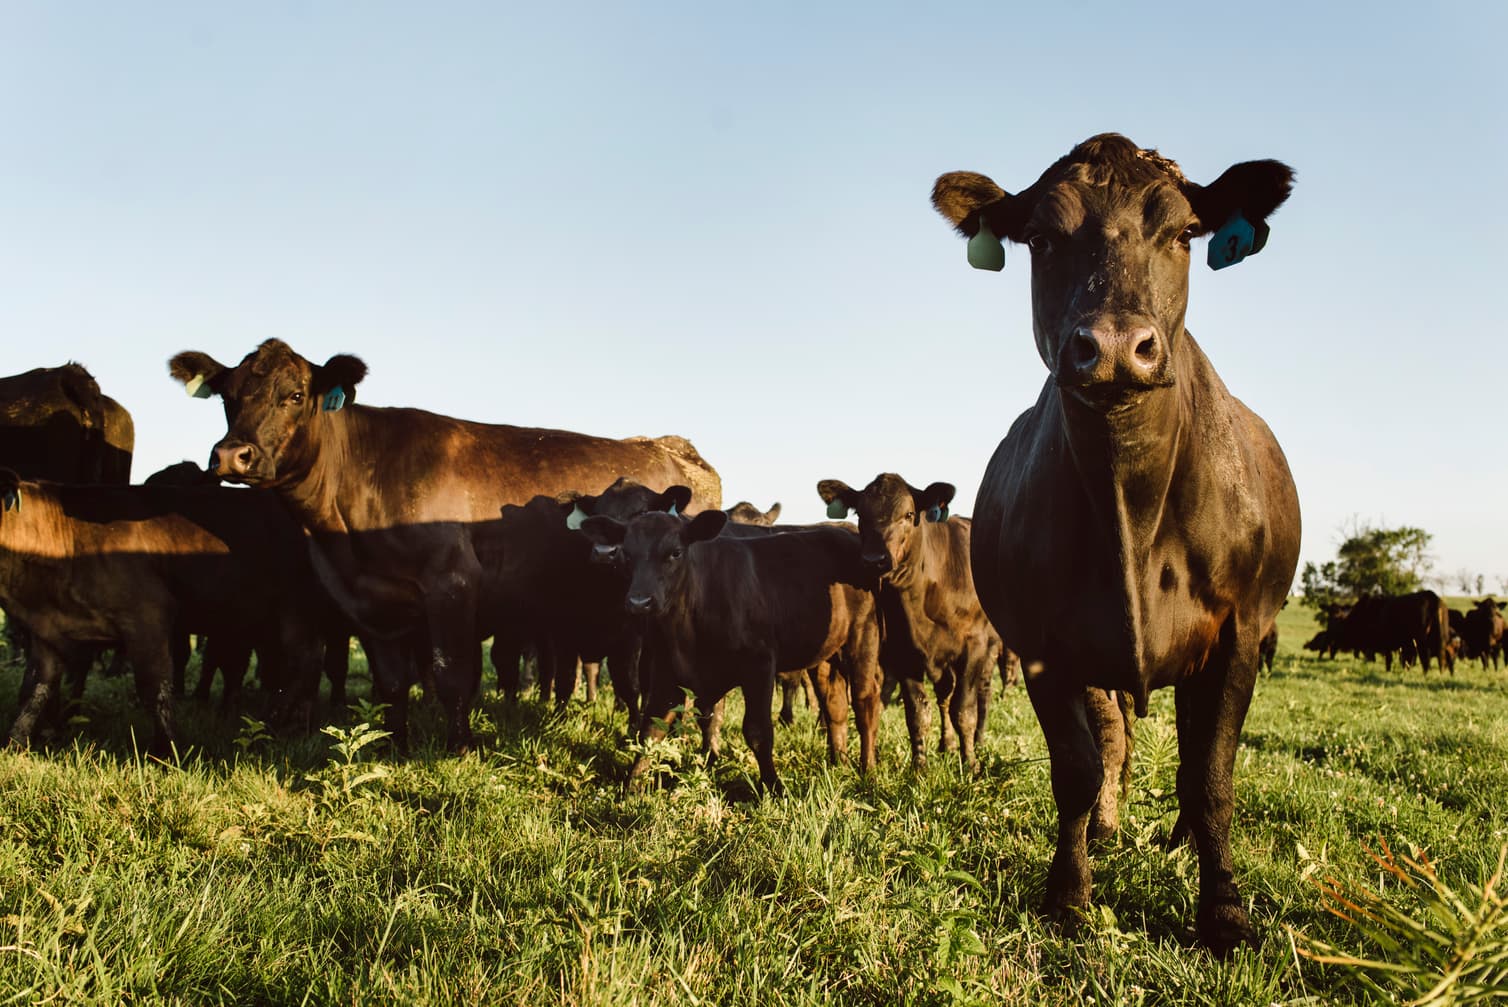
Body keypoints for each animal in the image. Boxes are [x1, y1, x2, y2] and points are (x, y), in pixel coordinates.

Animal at [0, 467, 328, 750]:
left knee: (302, 664)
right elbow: (36, 688)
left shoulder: (147, 617)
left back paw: (273, 725)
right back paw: (296, 725)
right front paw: (15, 741)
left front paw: (168, 749)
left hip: (295, 610)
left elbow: (154, 687)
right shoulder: (47, 632)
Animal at [168, 342, 720, 750]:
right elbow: (392, 682)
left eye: (296, 394)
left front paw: (459, 748)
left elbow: (451, 674)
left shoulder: (452, 584)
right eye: (228, 396)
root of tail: (675, 448)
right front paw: (397, 744)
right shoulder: (368, 603)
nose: (233, 455)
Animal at [820, 476, 1007, 777]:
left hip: (991, 648)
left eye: (908, 514)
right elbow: (918, 713)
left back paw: (976, 742)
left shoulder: (974, 646)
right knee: (944, 694)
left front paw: (970, 763)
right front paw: (919, 768)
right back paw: (946, 744)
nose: (874, 560)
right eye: (860, 514)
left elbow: (964, 709)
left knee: (981, 693)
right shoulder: (903, 650)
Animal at [922, 133, 1302, 952]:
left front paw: (1224, 912)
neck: (1132, 503)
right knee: (1114, 740)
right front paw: (1069, 894)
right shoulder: (1041, 645)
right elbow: (1077, 768)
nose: (1118, 347)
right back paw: (1106, 831)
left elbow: (1212, 775)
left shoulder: (1241, 629)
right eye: (1040, 237)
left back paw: (1182, 840)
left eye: (1184, 232)